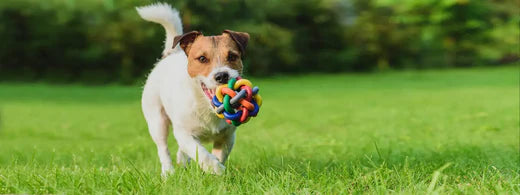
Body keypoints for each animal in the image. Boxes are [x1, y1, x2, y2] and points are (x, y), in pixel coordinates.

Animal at [136, 3, 250, 175]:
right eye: (202, 58)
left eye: (232, 56)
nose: (222, 75)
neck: (207, 107)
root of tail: (171, 53)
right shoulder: (184, 134)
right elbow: (202, 153)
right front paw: (216, 169)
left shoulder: (227, 137)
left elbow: (218, 154)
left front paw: (216, 170)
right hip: (157, 121)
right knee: (163, 148)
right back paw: (168, 172)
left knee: (180, 151)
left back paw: (182, 161)